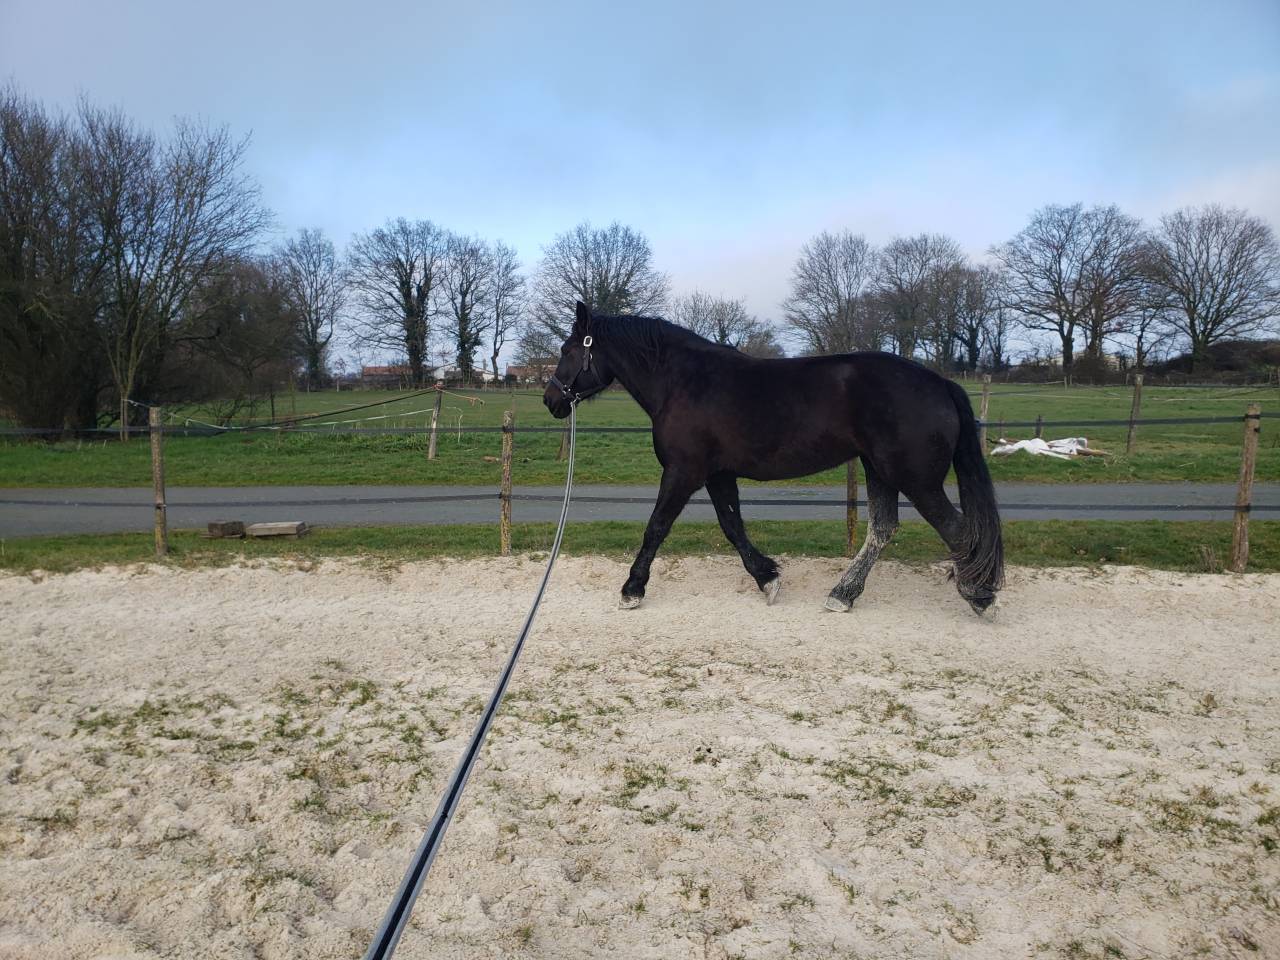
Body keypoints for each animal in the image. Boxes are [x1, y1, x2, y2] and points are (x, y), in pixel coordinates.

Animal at [543, 301, 1003, 616]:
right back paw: (843, 594)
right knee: (882, 530)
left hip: (915, 479)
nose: (551, 400)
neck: (682, 381)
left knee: (958, 531)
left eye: (567, 350)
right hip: (880, 471)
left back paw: (979, 596)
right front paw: (767, 578)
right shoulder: (718, 474)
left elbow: (657, 526)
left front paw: (632, 589)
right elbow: (733, 526)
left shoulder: (684, 471)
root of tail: (939, 383)